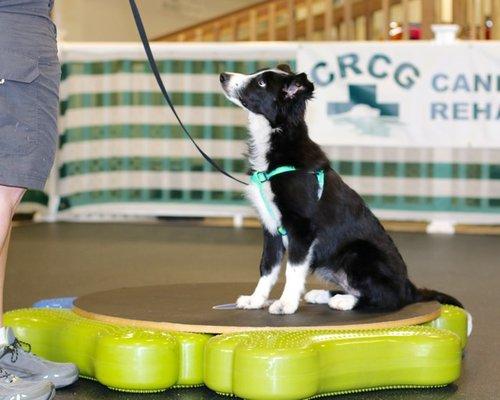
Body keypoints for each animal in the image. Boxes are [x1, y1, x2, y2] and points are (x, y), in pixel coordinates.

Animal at [221, 65, 462, 316]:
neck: (277, 141)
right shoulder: (272, 229)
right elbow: (267, 267)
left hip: (358, 253)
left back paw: (346, 302)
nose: (223, 77)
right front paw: (255, 300)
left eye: (261, 83)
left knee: (388, 298)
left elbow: (293, 270)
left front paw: (286, 304)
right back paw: (324, 295)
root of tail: (409, 287)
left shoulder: (301, 227)